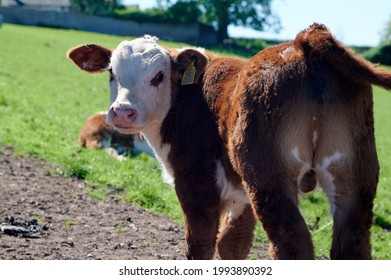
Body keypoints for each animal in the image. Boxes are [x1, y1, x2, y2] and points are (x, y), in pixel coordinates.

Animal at [68, 24, 391, 260]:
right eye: (112, 72)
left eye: (158, 76)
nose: (123, 111)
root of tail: (304, 41)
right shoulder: (240, 193)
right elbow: (232, 244)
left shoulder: (196, 182)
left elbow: (200, 243)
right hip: (353, 176)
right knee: (352, 244)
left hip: (269, 179)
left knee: (292, 244)